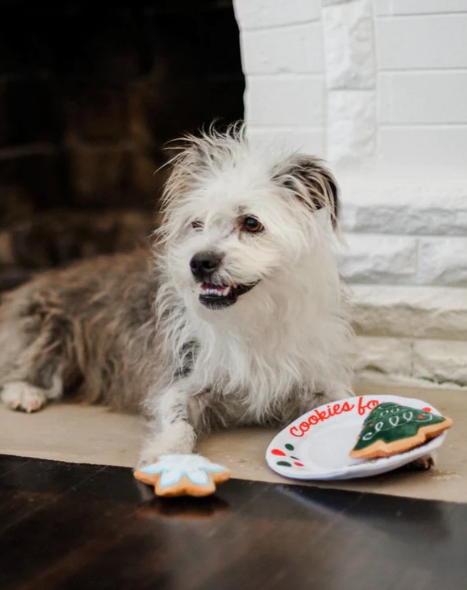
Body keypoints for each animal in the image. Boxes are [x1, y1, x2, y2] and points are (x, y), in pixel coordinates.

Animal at [0, 127, 352, 464]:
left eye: (251, 223)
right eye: (196, 224)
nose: (200, 262)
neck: (251, 318)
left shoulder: (315, 382)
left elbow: (344, 403)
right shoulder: (180, 380)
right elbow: (178, 423)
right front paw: (168, 452)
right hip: (48, 329)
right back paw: (25, 392)